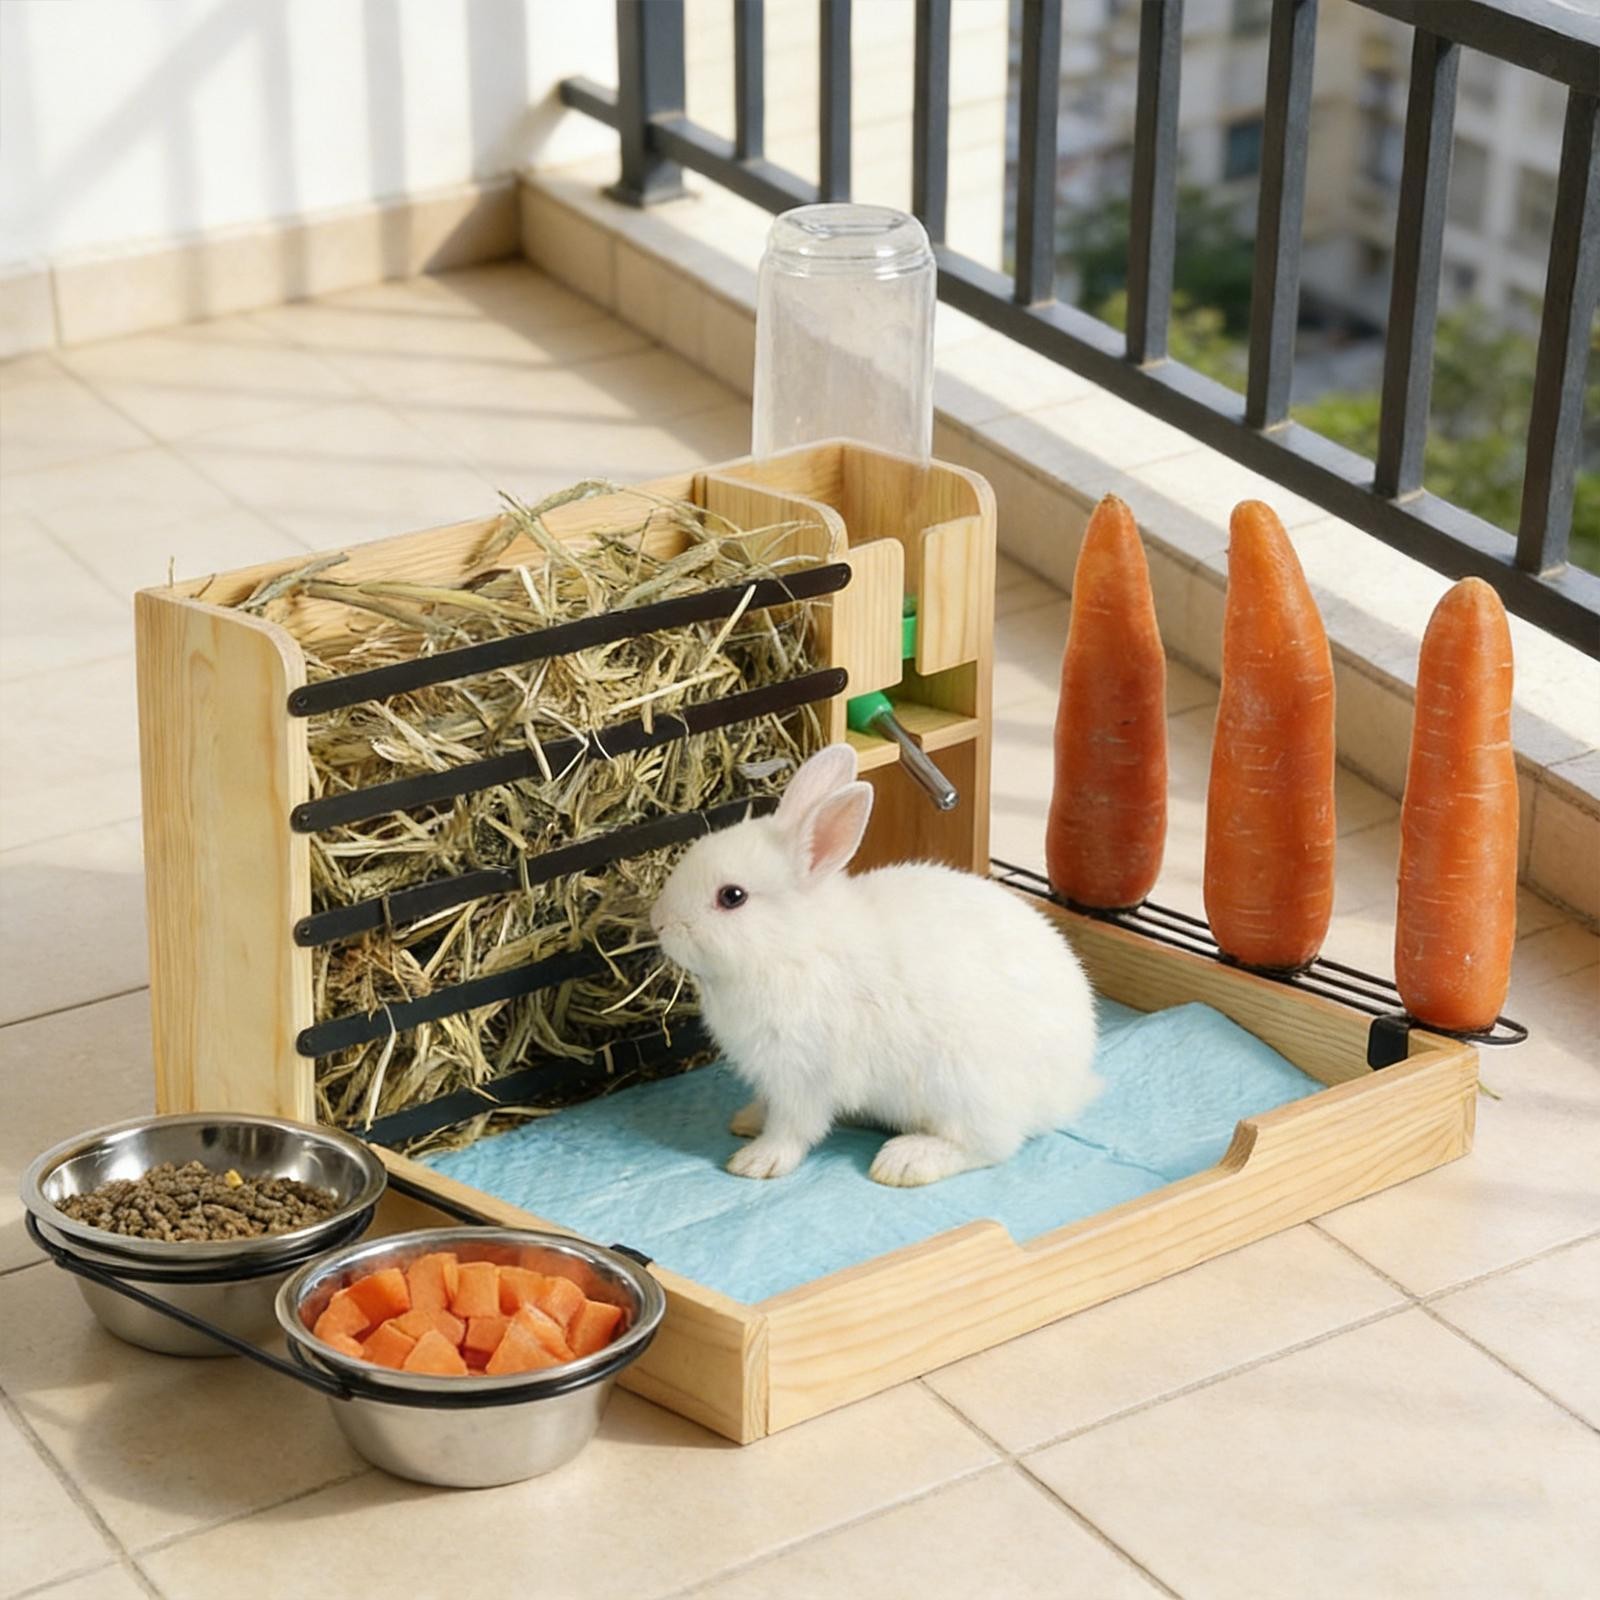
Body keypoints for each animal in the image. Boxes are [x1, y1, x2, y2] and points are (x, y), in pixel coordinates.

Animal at [647, 743, 1100, 1187]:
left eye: (732, 896)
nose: (659, 922)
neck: (795, 947)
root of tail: (1073, 1084)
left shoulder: (802, 1075)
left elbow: (793, 1128)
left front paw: (757, 1161)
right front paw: (747, 1119)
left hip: (967, 1089)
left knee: (992, 1146)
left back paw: (905, 1161)